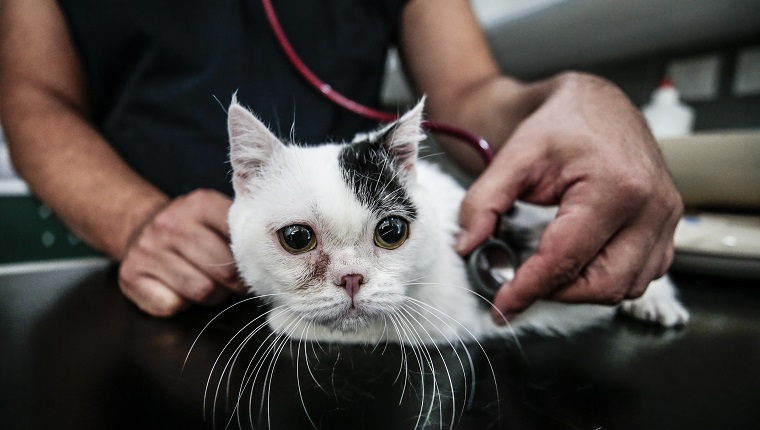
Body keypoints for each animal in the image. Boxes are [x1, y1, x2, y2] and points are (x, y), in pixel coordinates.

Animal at [224, 95, 688, 348]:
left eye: (391, 232)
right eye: (297, 238)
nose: (352, 279)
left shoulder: (446, 318)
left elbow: (365, 326)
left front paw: (284, 320)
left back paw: (655, 302)